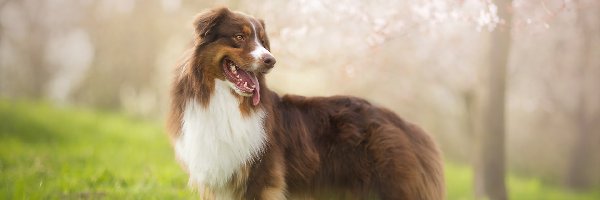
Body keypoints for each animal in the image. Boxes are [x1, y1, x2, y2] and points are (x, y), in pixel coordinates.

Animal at [169, 7, 446, 199]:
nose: (271, 60)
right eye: (239, 36)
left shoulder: (262, 179)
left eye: (263, 42)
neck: (224, 99)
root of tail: (406, 125)